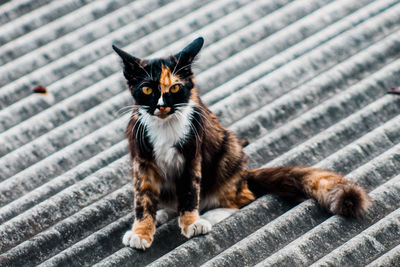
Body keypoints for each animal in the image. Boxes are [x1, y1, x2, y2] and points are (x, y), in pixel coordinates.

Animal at [111, 36, 370, 250]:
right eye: (147, 89)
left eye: (175, 87)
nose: (162, 106)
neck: (165, 127)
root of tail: (244, 174)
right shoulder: (142, 158)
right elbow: (143, 198)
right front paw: (141, 232)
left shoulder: (192, 154)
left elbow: (189, 192)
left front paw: (192, 223)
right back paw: (164, 212)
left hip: (228, 150)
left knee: (243, 197)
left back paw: (208, 216)